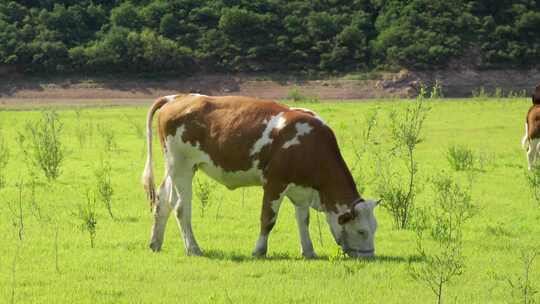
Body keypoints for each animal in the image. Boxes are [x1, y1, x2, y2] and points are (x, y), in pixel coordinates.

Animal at [143, 94, 380, 258]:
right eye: (361, 231)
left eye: (374, 229)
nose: (369, 257)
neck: (310, 144)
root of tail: (178, 97)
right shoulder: (275, 183)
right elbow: (268, 220)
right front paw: (259, 250)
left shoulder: (301, 189)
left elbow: (303, 220)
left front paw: (309, 251)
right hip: (181, 166)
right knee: (181, 207)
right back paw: (193, 248)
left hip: (176, 168)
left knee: (163, 200)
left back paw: (155, 243)